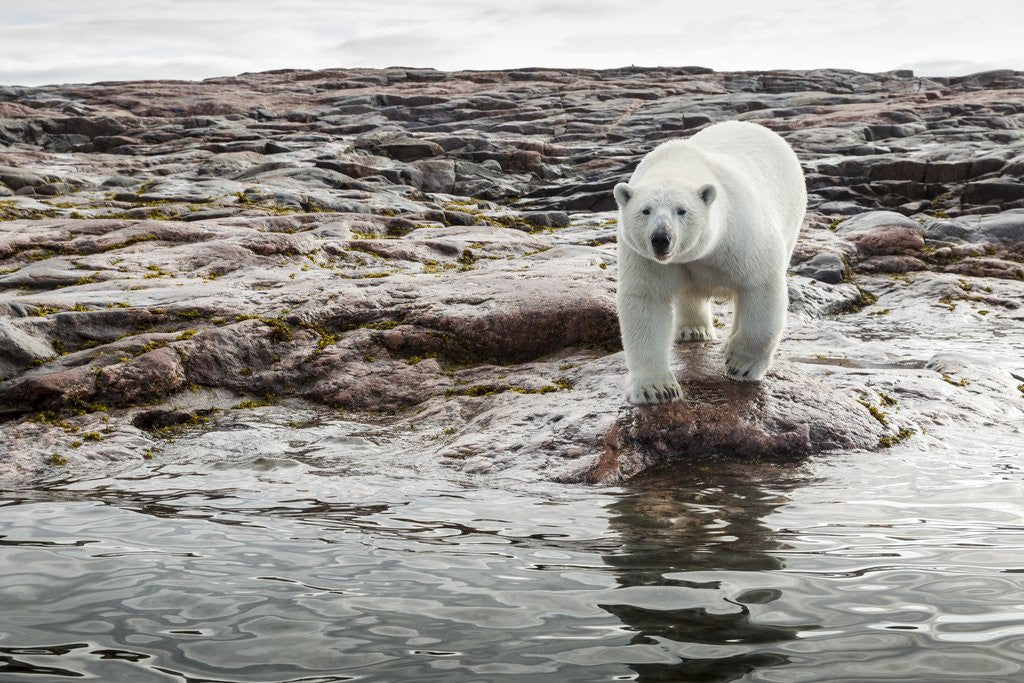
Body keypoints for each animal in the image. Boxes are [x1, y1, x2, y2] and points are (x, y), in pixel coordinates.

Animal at [613, 120, 806, 404]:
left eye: (682, 210)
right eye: (645, 210)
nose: (661, 239)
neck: (679, 163)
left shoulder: (739, 235)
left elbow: (760, 286)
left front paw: (741, 364)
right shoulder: (645, 258)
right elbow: (645, 300)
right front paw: (657, 390)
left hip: (790, 215)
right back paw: (693, 330)